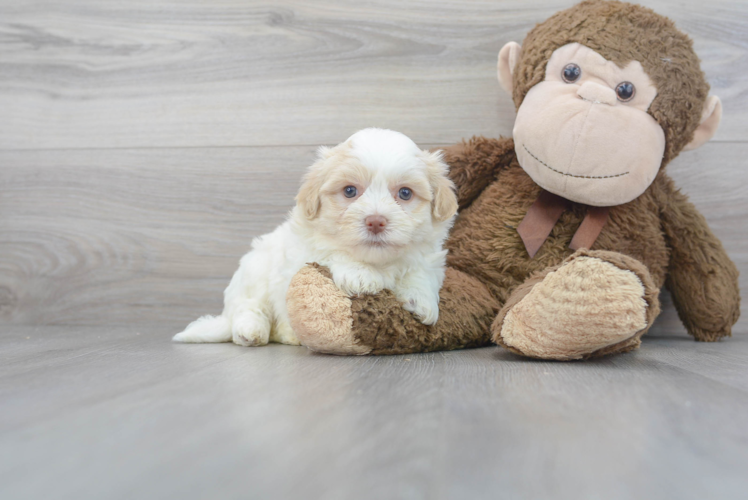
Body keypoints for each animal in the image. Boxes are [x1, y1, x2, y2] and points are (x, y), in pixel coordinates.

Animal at [173, 129, 458, 348]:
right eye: (350, 191)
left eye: (405, 193)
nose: (376, 221)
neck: (377, 260)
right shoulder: (306, 247)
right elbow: (332, 251)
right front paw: (360, 274)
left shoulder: (429, 256)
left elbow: (421, 271)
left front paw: (421, 301)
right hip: (255, 272)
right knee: (250, 307)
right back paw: (251, 331)